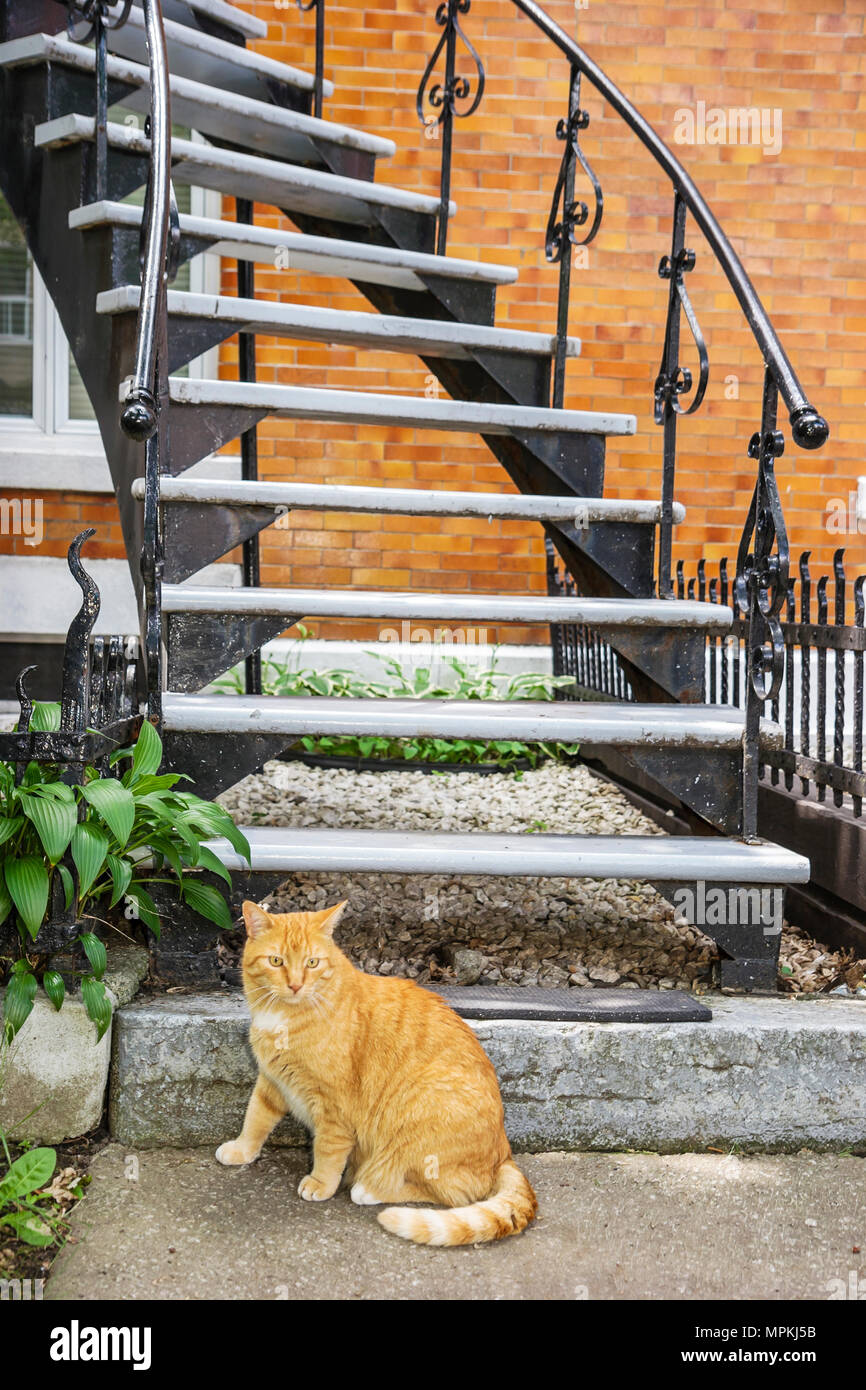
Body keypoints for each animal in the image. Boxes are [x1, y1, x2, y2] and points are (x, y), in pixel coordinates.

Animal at [216, 900, 539, 1251]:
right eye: (276, 961)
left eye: (312, 962)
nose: (296, 985)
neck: (286, 1016)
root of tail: (504, 1152)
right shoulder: (271, 1081)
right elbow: (255, 1119)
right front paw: (242, 1150)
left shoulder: (333, 1107)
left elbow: (327, 1149)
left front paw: (321, 1183)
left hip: (414, 1120)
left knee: (449, 1193)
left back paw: (368, 1188)